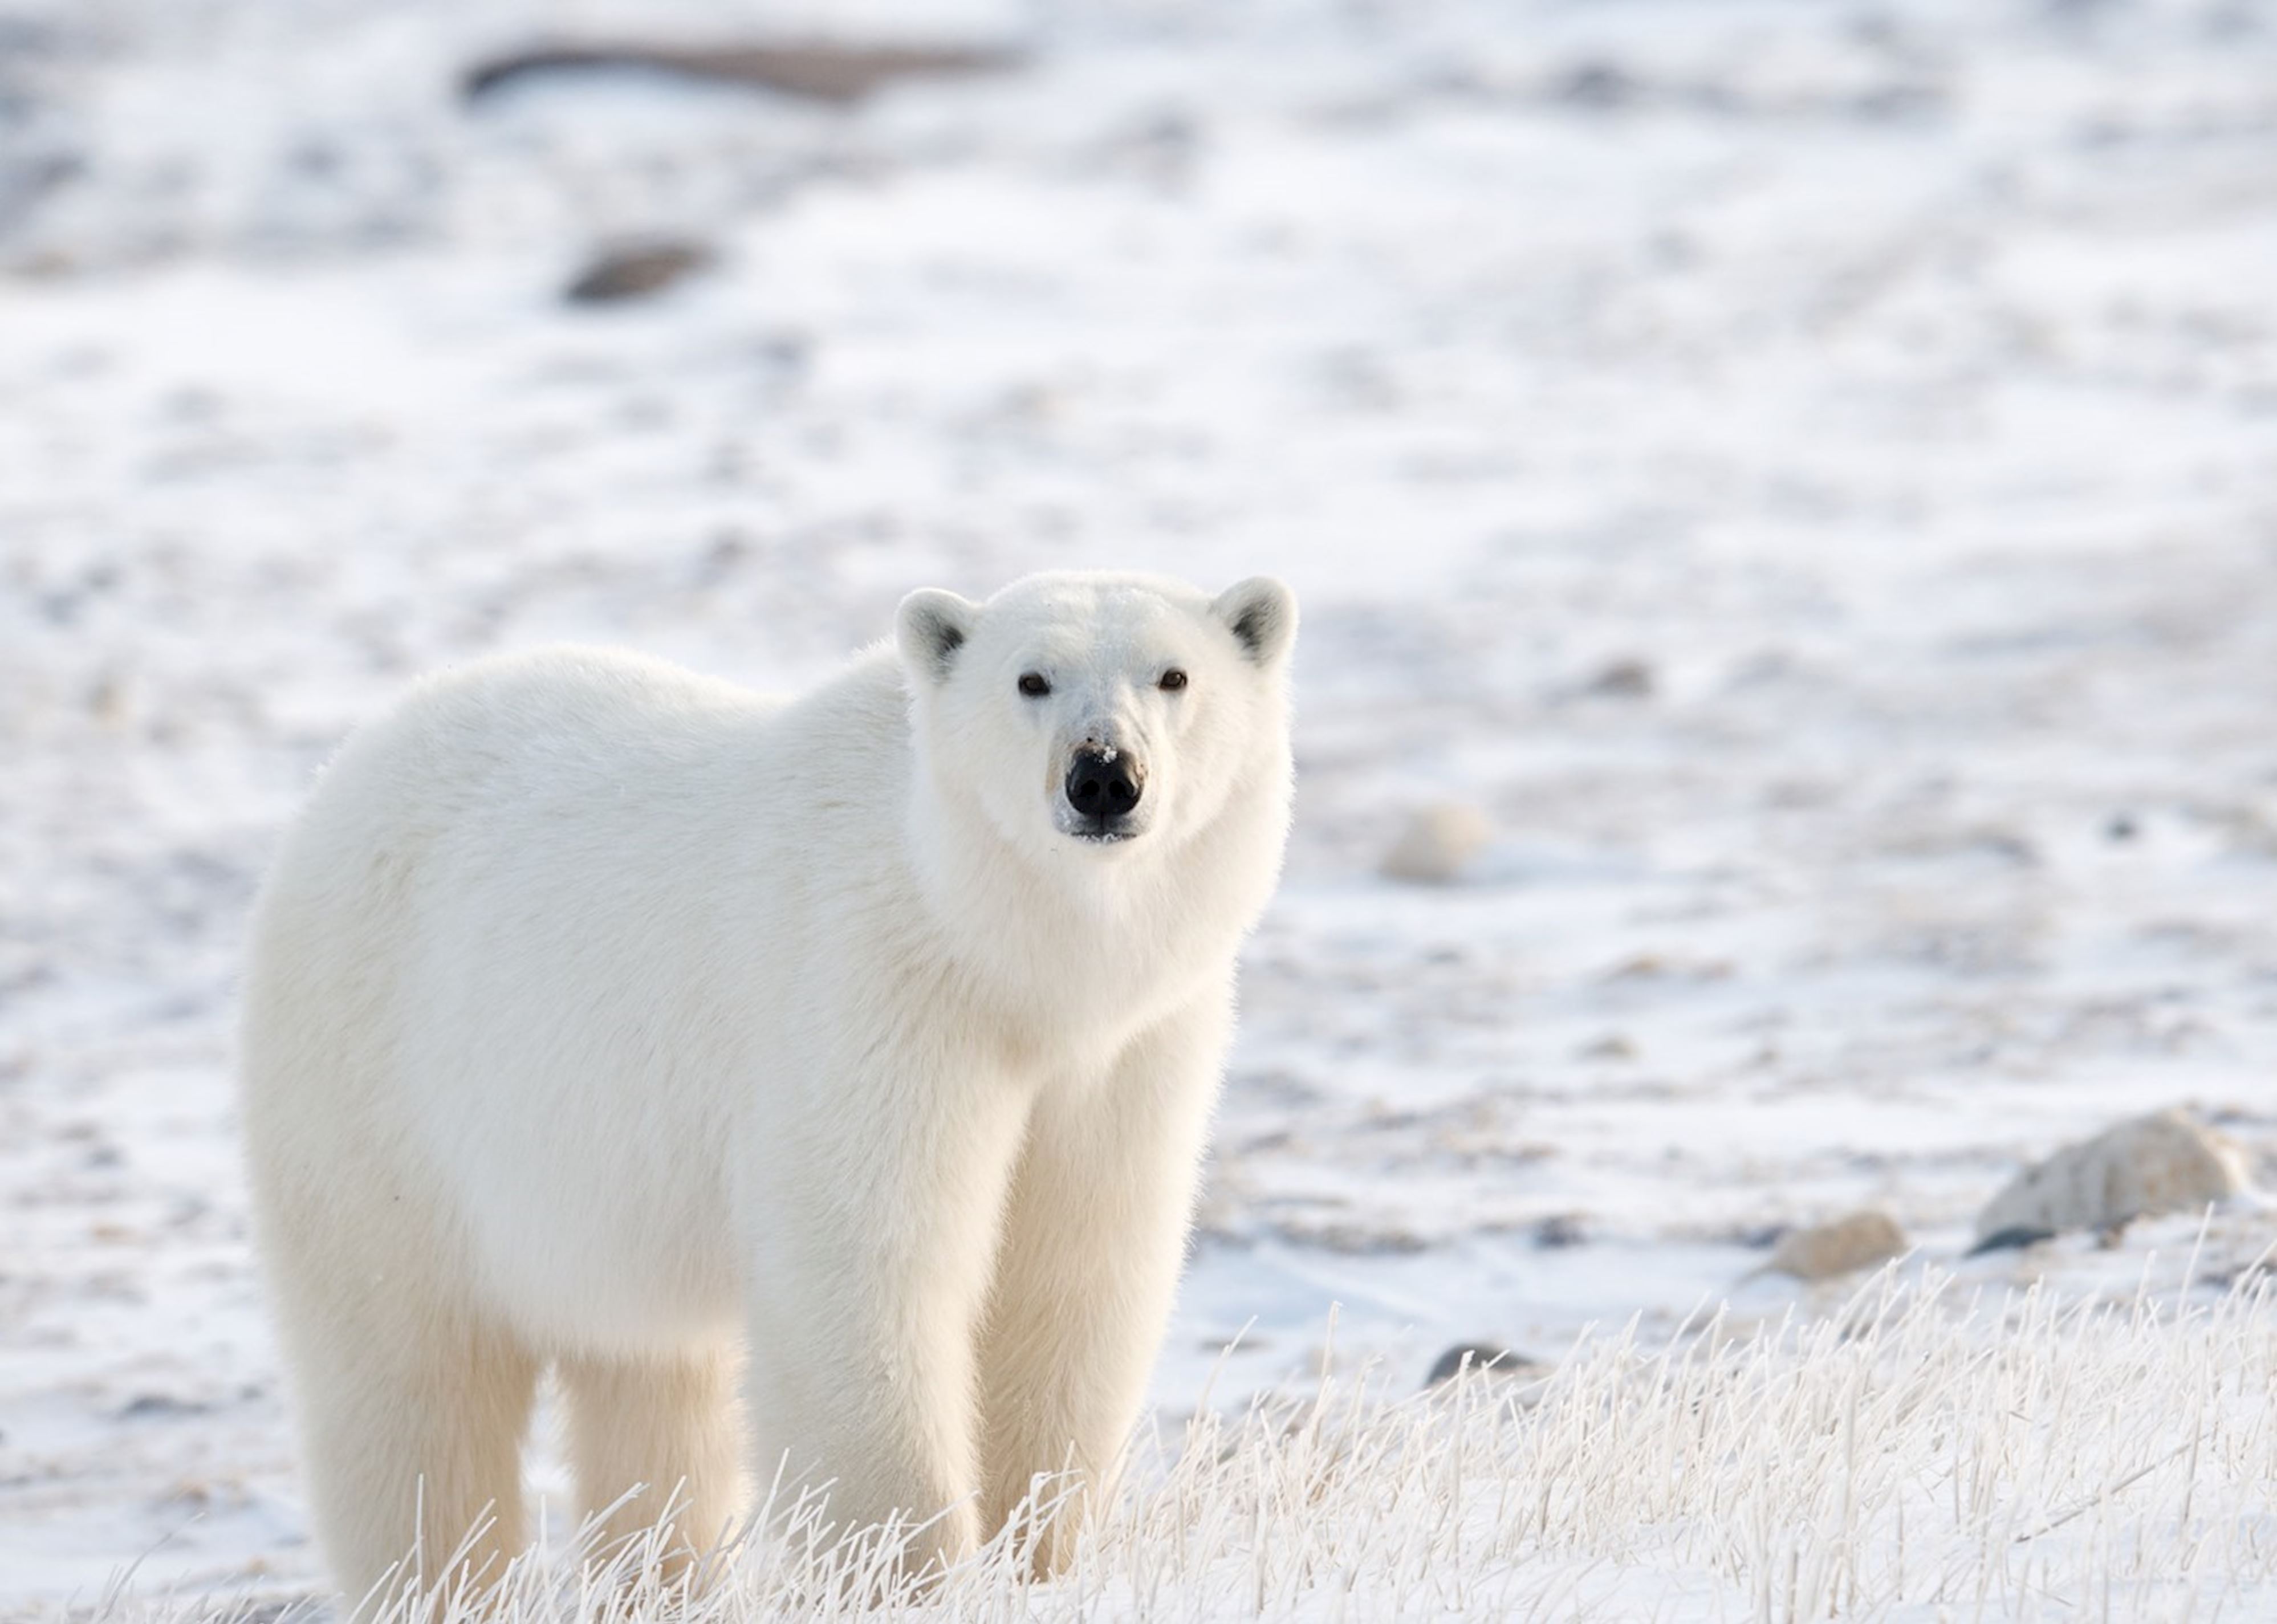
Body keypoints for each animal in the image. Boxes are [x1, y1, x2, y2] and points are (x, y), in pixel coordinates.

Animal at [242, 569, 1311, 1594]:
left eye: (1173, 675)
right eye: (1031, 678)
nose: (1103, 776)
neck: (999, 955)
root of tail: (347, 767)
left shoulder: (1123, 1053)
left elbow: (1072, 1276)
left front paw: (1041, 1556)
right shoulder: (870, 997)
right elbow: (866, 1271)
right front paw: (910, 1572)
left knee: (651, 1395)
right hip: (378, 1102)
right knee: (412, 1392)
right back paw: (439, 1575)